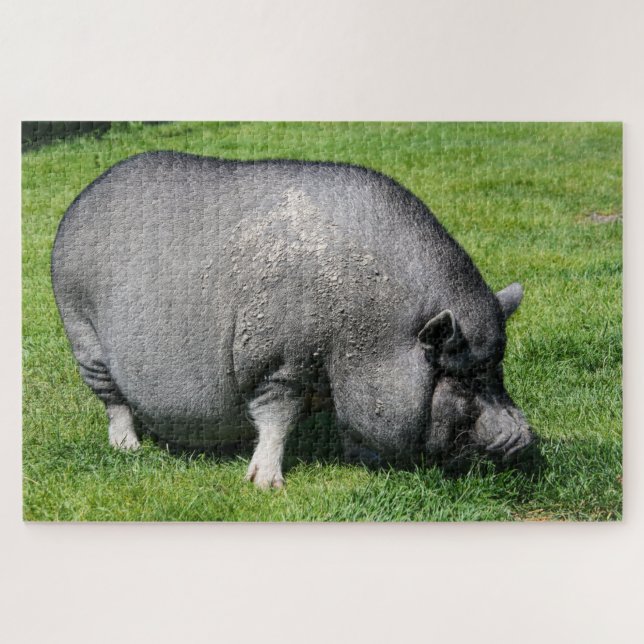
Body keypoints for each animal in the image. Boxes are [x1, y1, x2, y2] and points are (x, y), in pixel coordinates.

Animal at [51, 151, 534, 489]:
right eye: (459, 379)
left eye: (496, 369)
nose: (524, 437)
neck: (366, 328)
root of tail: (82, 198)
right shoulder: (277, 361)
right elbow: (276, 420)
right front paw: (266, 484)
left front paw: (366, 462)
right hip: (82, 333)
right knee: (113, 400)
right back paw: (128, 448)